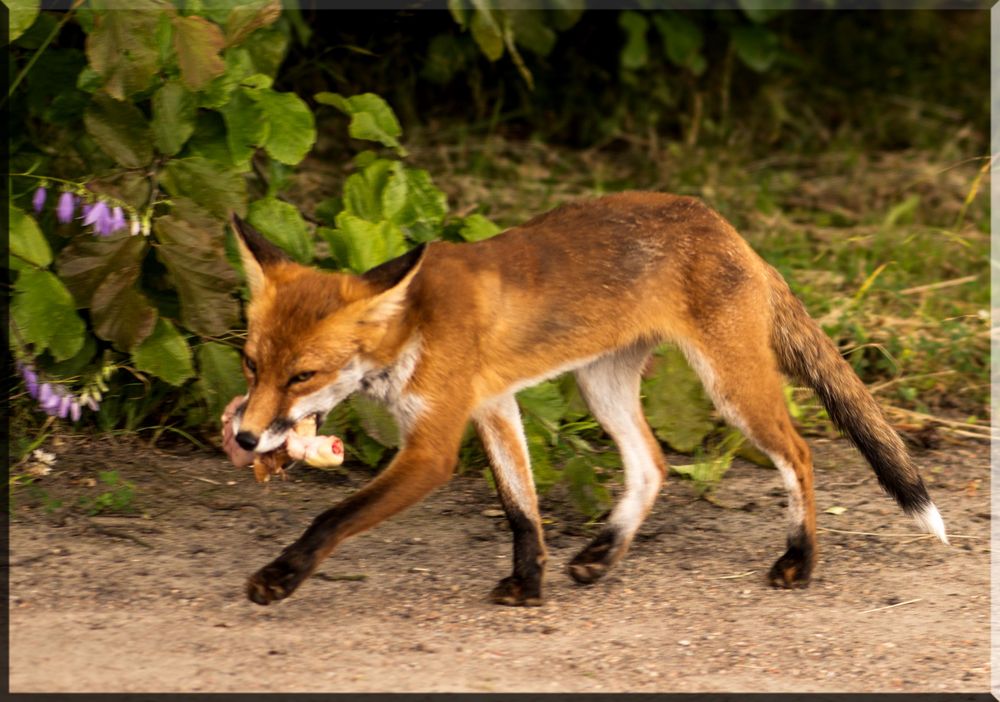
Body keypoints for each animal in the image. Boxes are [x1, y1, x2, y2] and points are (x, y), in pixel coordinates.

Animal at [225, 190, 944, 608]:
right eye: (253, 364)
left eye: (303, 376)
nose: (246, 438)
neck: (415, 324)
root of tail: (730, 230)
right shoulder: (494, 406)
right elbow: (521, 507)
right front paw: (529, 582)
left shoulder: (433, 445)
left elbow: (333, 517)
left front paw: (281, 577)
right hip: (602, 386)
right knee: (652, 464)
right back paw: (603, 555)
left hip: (730, 386)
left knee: (798, 453)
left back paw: (800, 560)